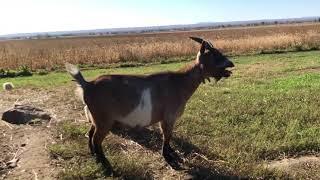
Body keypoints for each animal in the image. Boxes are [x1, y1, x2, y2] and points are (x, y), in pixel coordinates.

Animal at [65, 37, 235, 174]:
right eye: (214, 55)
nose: (231, 64)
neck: (179, 83)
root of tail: (87, 85)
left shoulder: (165, 119)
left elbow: (168, 137)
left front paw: (172, 153)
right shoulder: (168, 118)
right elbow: (167, 136)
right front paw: (168, 158)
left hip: (96, 119)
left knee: (90, 134)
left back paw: (94, 157)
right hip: (104, 121)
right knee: (96, 140)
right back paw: (107, 166)